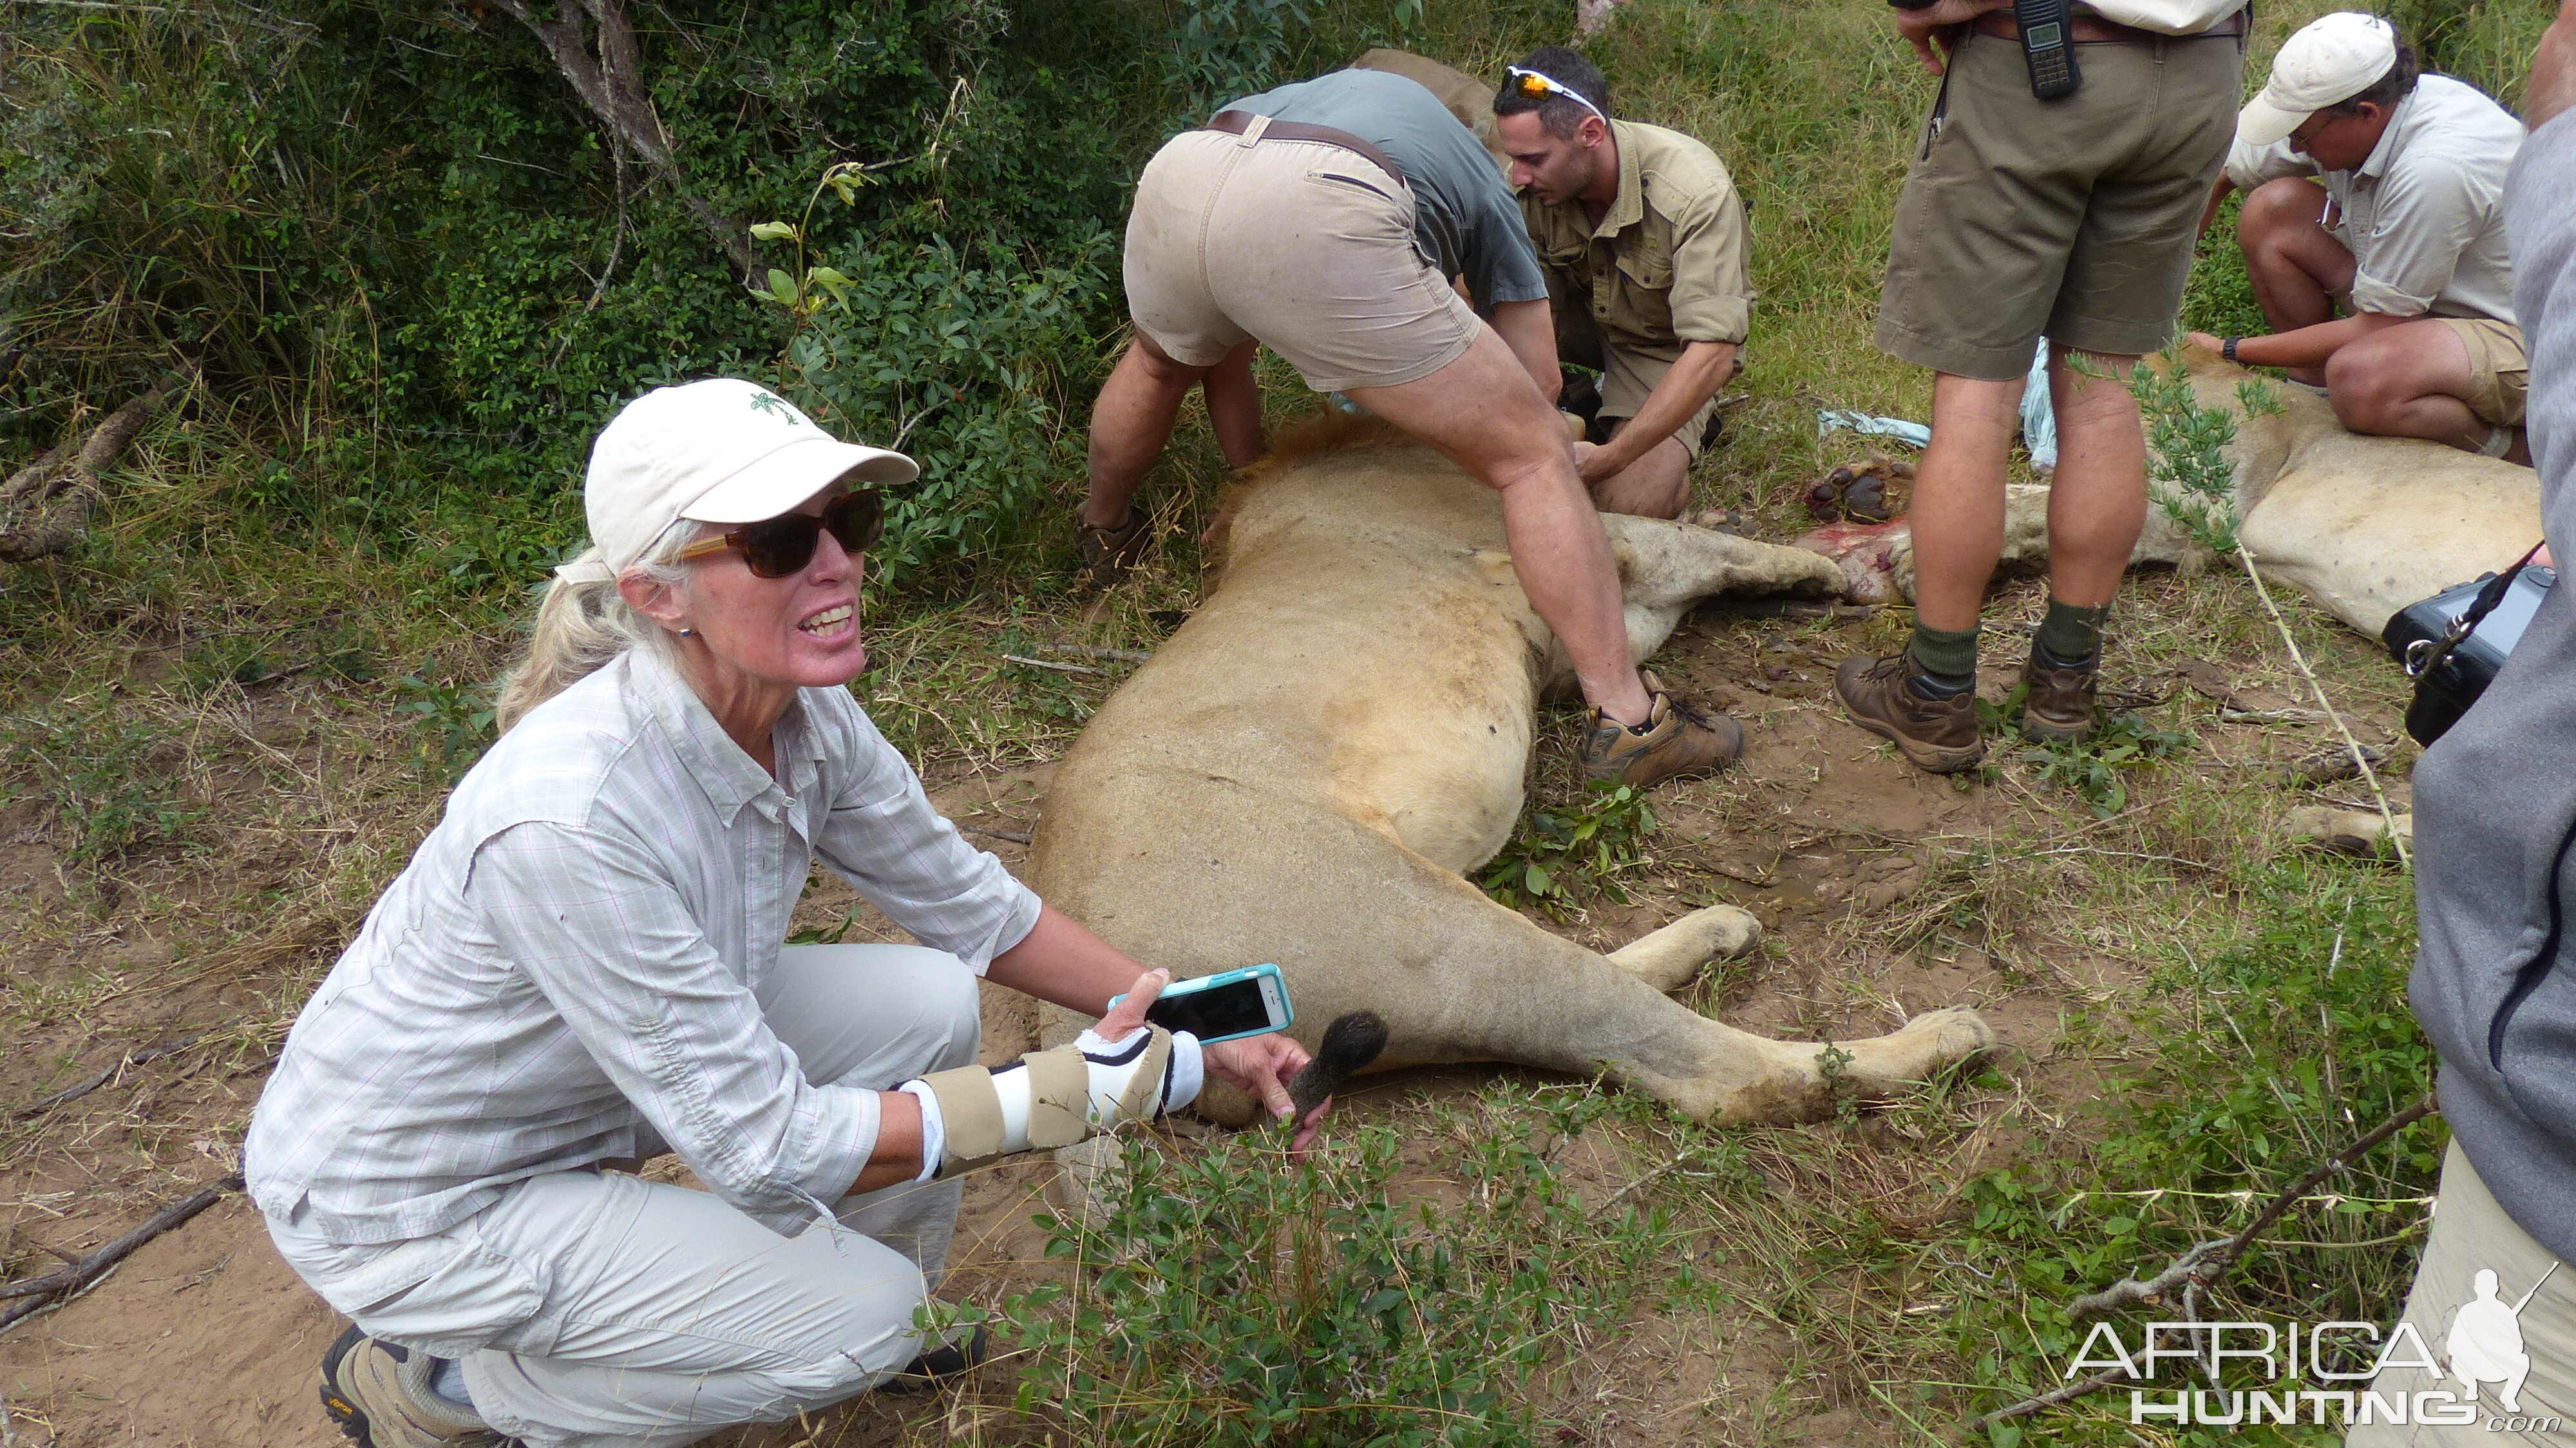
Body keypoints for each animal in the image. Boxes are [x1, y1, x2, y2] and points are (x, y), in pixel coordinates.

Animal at [1025, 415, 1989, 1118]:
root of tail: (1066, 1025)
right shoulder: (1609, 544)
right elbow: (1727, 552)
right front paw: (1830, 565)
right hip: (1413, 928)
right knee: (1711, 1073)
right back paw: (1946, 1038)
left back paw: (1722, 928)